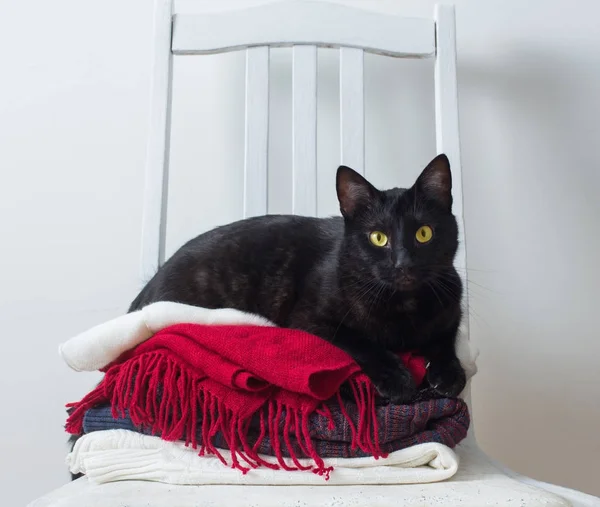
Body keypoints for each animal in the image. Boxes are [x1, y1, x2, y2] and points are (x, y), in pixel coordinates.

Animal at [130, 155, 464, 404]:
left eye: (424, 233)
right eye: (378, 237)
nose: (403, 263)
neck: (405, 306)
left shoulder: (451, 312)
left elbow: (444, 341)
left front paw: (449, 374)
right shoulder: (310, 319)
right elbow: (359, 341)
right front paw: (396, 377)